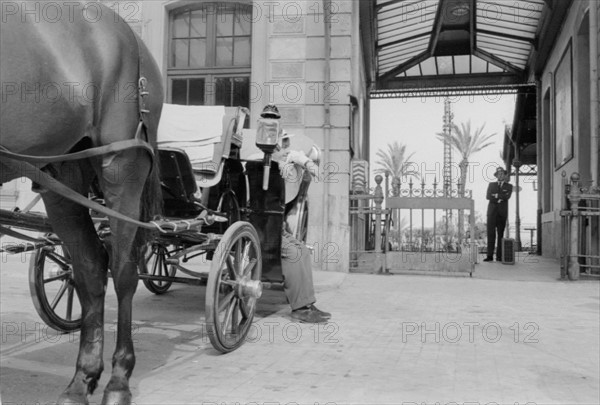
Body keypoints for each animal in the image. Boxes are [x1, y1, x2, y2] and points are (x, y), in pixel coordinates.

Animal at [0, 3, 163, 404]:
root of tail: (132, 36)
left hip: (122, 169)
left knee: (123, 271)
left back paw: (118, 381)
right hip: (61, 175)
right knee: (89, 268)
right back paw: (81, 379)